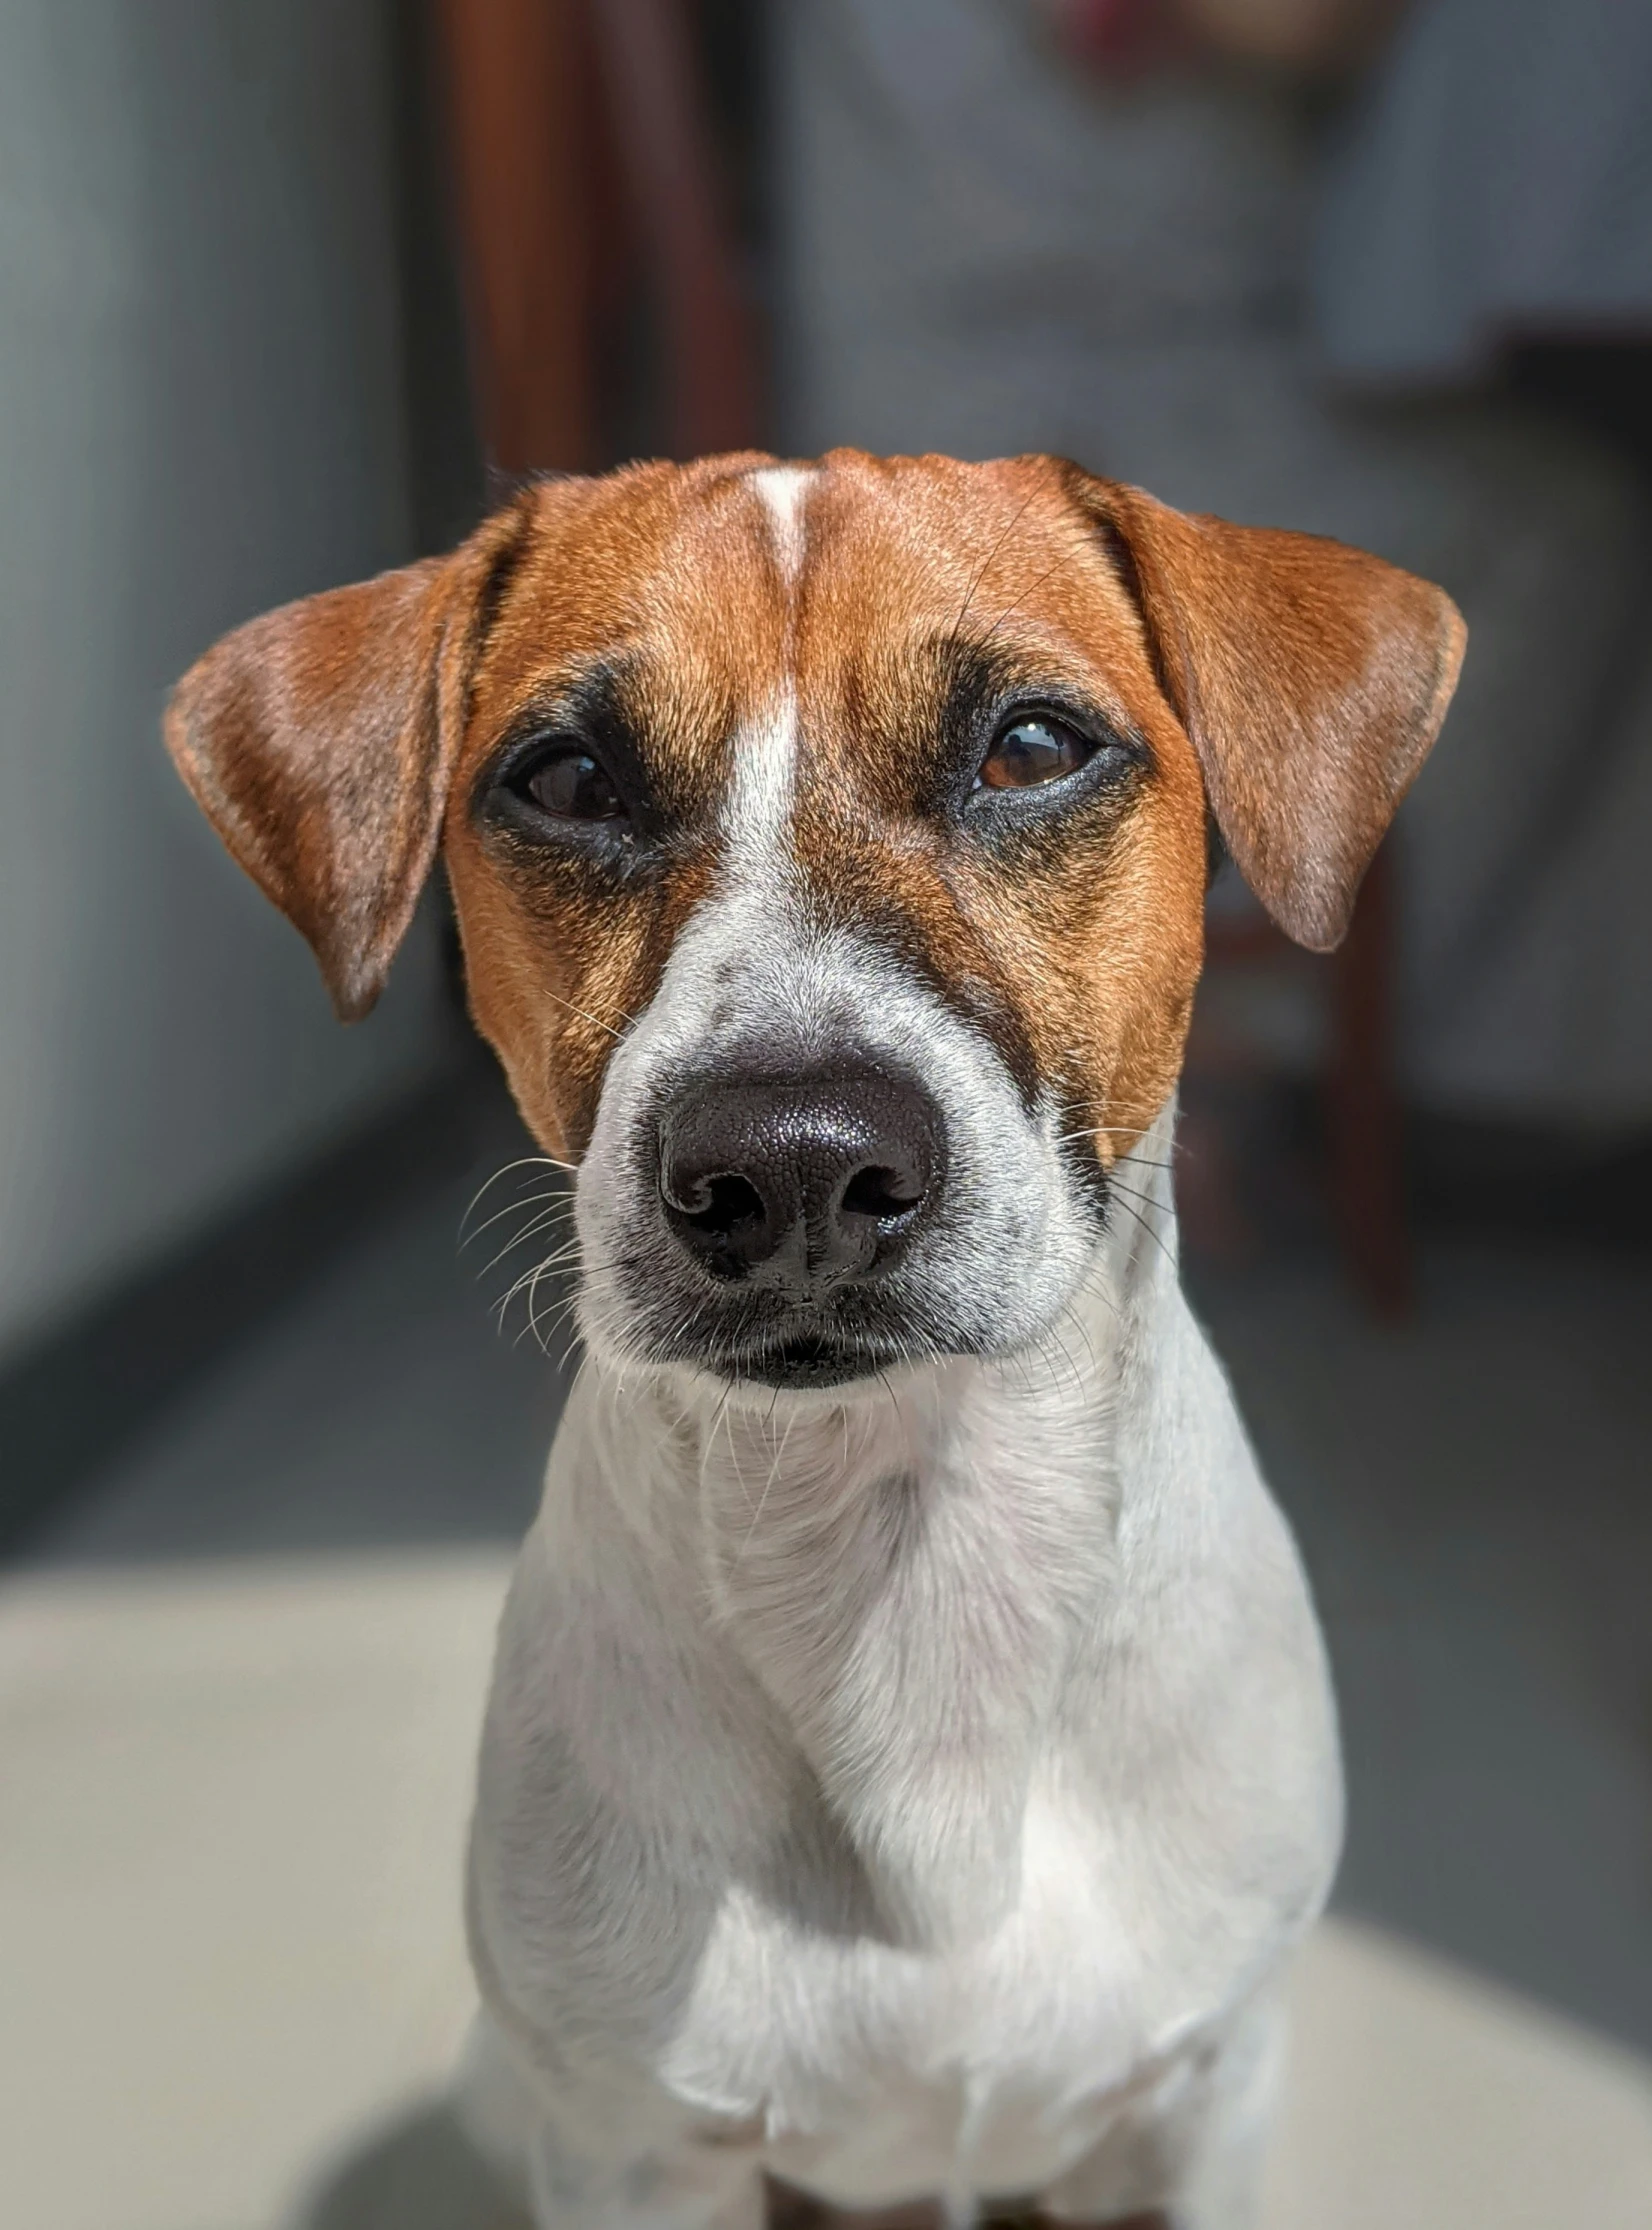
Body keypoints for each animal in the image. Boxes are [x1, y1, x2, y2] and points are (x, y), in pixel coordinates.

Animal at [163, 452, 1453, 2230]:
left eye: (1031, 745)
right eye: (567, 777)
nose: (788, 1164)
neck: (903, 1561)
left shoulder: (1193, 2105)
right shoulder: (635, 2147)